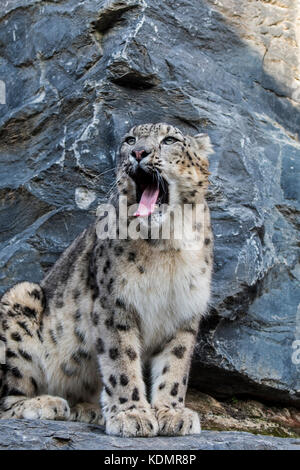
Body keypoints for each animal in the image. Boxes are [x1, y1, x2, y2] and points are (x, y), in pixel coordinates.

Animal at [0, 122, 213, 436]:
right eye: (130, 140)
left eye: (170, 140)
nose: (139, 153)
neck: (168, 247)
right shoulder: (115, 304)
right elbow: (121, 361)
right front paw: (132, 415)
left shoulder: (184, 311)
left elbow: (175, 367)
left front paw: (172, 413)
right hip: (19, 301)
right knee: (7, 398)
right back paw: (47, 403)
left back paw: (86, 409)